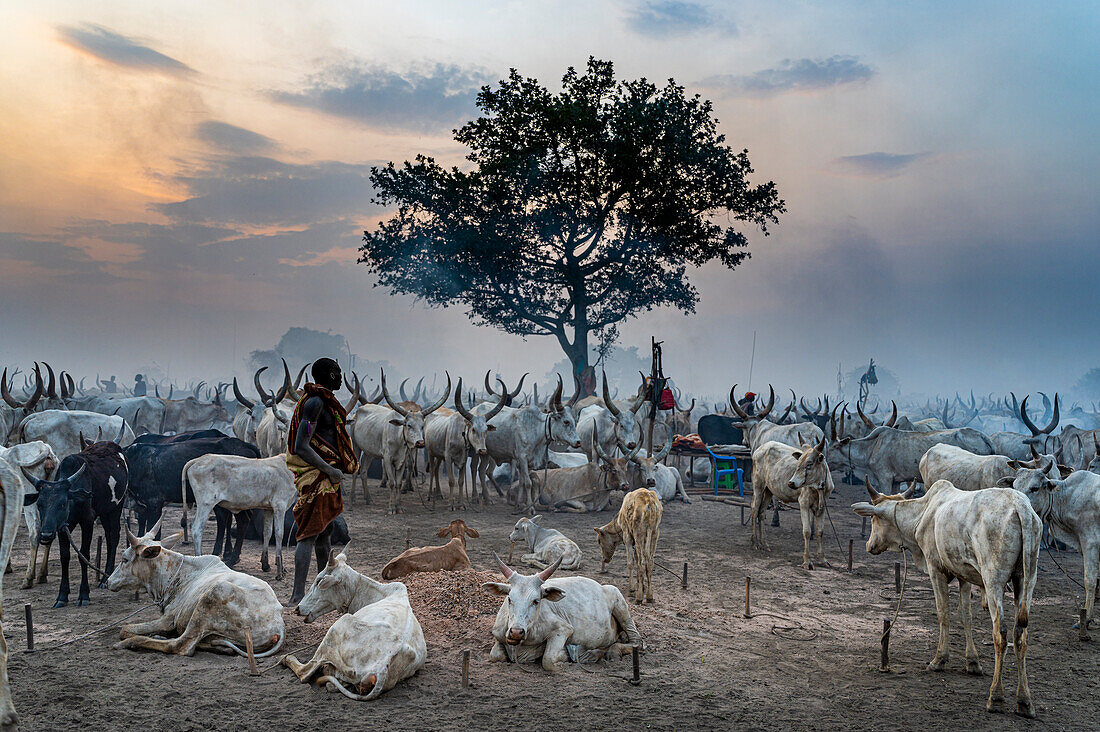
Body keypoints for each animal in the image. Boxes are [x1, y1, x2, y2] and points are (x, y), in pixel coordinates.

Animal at [105, 526, 286, 656]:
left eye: (124, 559)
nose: (107, 581)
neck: (174, 575)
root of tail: (278, 625)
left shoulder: (169, 619)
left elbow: (125, 629)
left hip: (213, 596)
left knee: (181, 646)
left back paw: (130, 643)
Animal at [182, 453, 299, 581]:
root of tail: (198, 459)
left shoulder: (269, 508)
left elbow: (267, 533)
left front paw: (265, 564)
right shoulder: (280, 505)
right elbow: (279, 534)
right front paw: (280, 571)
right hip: (206, 503)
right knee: (196, 529)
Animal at [283, 548, 424, 695]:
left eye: (318, 580)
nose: (298, 608)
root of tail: (381, 667)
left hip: (337, 628)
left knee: (305, 672)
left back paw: (287, 659)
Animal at [484, 550, 642, 669]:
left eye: (536, 601)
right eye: (509, 599)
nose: (516, 632)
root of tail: (602, 586)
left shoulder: (563, 629)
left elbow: (548, 659)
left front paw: (565, 655)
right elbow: (495, 656)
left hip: (620, 602)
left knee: (637, 642)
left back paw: (603, 653)